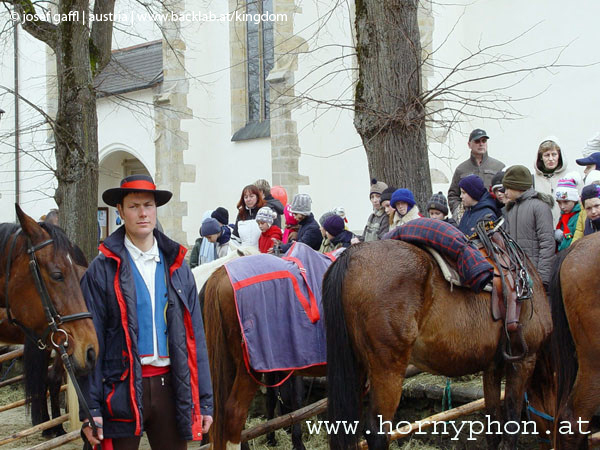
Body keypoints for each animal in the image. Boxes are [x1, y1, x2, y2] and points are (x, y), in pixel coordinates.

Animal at [324, 241, 552, 448]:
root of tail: (352, 255)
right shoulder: (524, 360)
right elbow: (511, 425)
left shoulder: (492, 368)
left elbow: (494, 426)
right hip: (387, 370)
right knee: (377, 432)